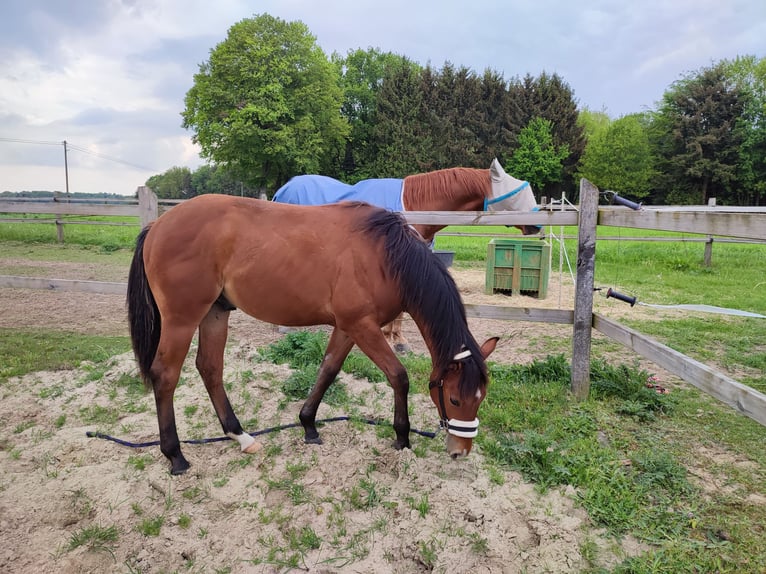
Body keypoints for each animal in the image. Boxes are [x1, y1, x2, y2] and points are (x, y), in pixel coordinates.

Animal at [127, 195, 498, 475]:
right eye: (454, 399)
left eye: (480, 398)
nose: (460, 451)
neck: (383, 254)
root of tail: (158, 225)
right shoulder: (361, 325)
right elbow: (398, 376)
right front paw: (402, 438)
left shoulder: (349, 327)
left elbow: (328, 369)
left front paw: (308, 425)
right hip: (182, 319)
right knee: (166, 376)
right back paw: (175, 455)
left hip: (215, 313)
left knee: (210, 368)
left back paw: (240, 436)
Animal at [273, 158, 540, 352]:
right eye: (517, 192)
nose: (536, 225)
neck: (415, 207)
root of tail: (283, 189)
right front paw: (397, 342)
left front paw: (394, 337)